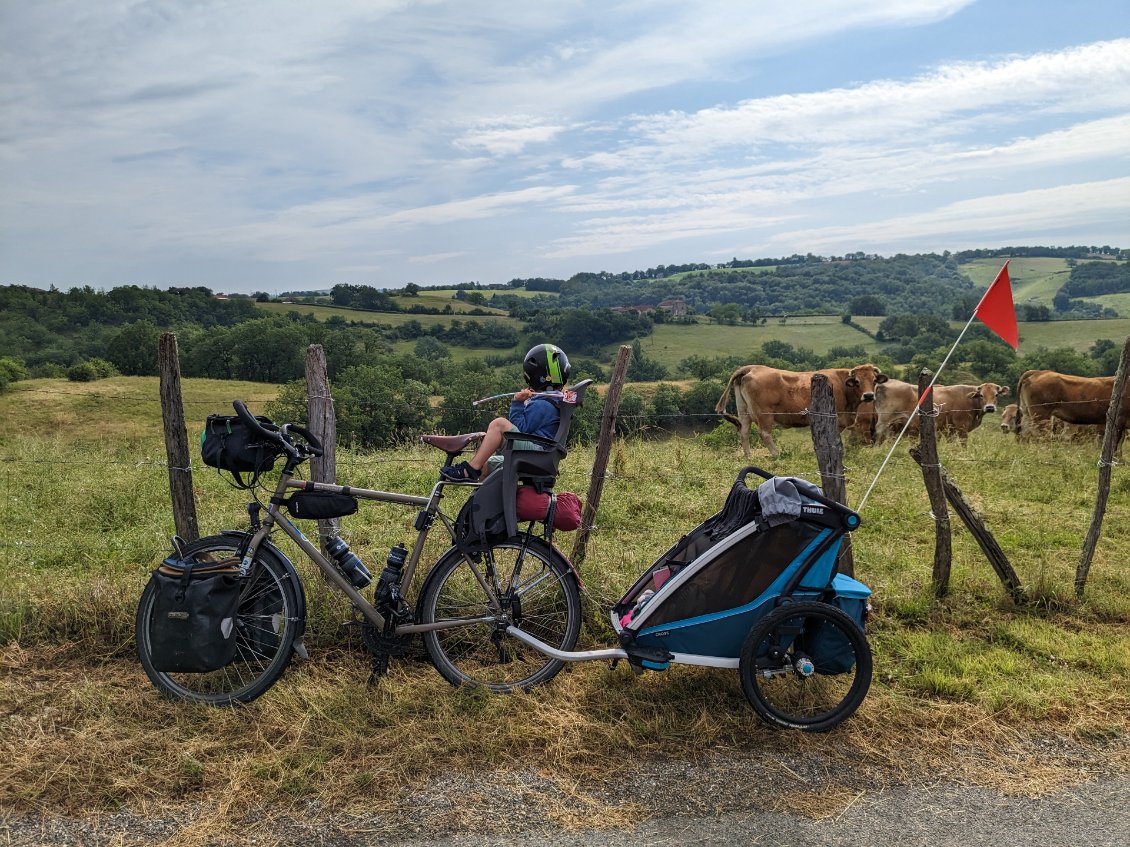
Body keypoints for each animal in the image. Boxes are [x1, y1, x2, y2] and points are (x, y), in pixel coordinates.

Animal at [718, 363, 885, 460]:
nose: (869, 395)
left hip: (744, 411)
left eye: (874, 380)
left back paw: (748, 456)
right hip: (764, 414)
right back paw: (776, 454)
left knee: (744, 432)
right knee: (764, 433)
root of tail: (753, 367)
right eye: (857, 381)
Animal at [872, 377, 1007, 444]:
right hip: (885, 419)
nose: (990, 407)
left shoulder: (950, 429)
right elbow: (963, 444)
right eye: (981, 395)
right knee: (879, 431)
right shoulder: (962, 427)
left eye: (996, 395)